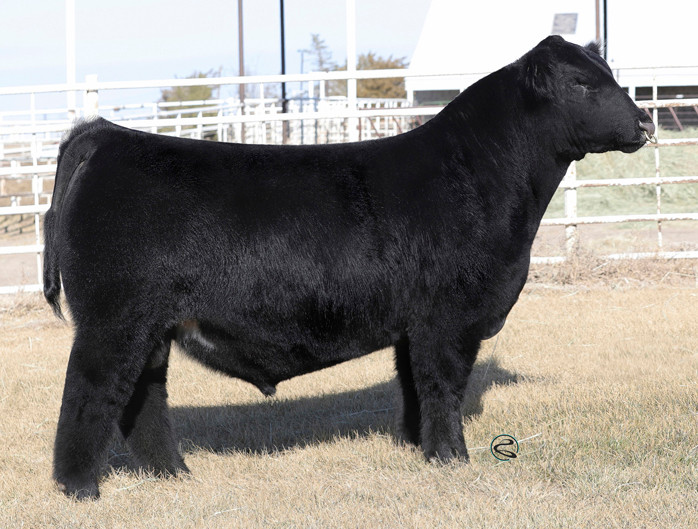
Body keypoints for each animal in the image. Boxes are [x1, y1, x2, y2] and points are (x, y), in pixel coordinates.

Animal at [44, 36, 655, 499]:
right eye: (581, 83)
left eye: (609, 74)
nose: (646, 120)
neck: (480, 175)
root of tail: (106, 136)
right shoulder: (449, 318)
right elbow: (444, 387)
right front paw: (453, 459)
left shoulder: (415, 325)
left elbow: (414, 387)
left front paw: (417, 448)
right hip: (113, 320)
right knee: (89, 393)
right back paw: (80, 488)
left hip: (152, 327)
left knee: (142, 399)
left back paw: (173, 474)